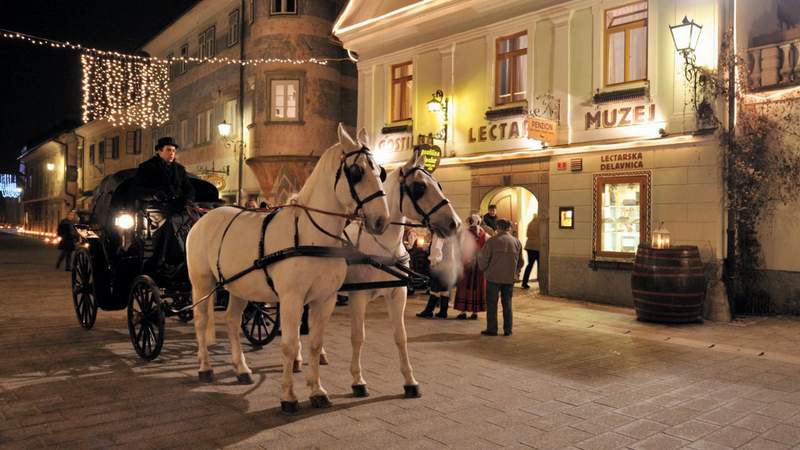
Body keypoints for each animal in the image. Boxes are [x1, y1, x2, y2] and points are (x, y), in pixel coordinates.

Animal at [186, 125, 390, 414]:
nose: (381, 220)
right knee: (202, 321)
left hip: (238, 286)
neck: (311, 234)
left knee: (234, 322)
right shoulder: (291, 299)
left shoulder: (324, 299)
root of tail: (204, 217)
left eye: (380, 171)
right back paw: (205, 366)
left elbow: (315, 344)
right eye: (356, 171)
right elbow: (290, 345)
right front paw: (288, 396)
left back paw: (241, 368)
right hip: (202, 283)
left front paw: (317, 391)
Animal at [338, 155, 462, 398]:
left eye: (439, 185)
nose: (455, 223)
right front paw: (358, 380)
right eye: (419, 187)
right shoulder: (357, 297)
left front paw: (410, 381)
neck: (381, 249)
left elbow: (401, 337)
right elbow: (358, 337)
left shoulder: (398, 293)